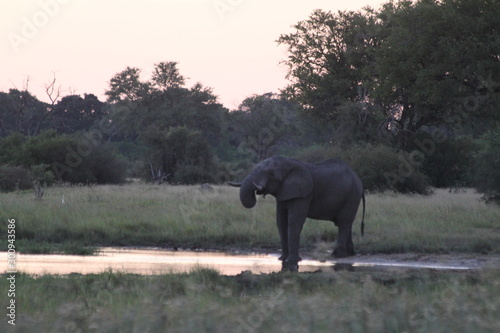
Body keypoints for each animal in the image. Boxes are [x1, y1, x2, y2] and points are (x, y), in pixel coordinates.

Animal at [229, 155, 366, 270]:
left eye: (272, 174)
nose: (256, 192)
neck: (288, 163)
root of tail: (359, 180)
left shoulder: (303, 194)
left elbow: (294, 220)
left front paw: (292, 261)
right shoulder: (283, 192)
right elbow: (281, 221)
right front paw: (282, 259)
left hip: (352, 195)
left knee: (343, 222)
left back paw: (337, 256)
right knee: (346, 223)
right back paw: (349, 254)